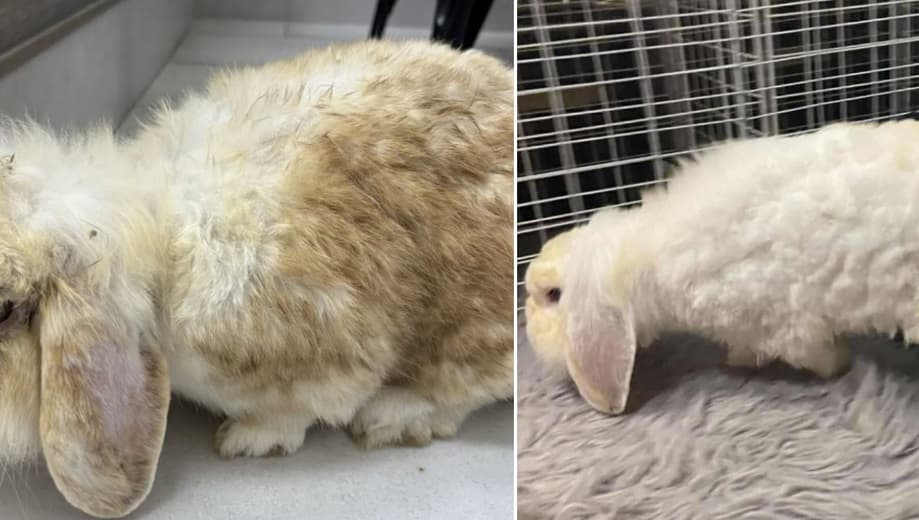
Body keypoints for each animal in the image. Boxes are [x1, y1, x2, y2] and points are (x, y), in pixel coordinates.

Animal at [0, 39, 512, 518]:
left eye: (4, 310)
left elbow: (299, 412)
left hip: (472, 338)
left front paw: (248, 438)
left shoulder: (328, 359)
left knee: (458, 396)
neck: (156, 235)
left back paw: (390, 418)